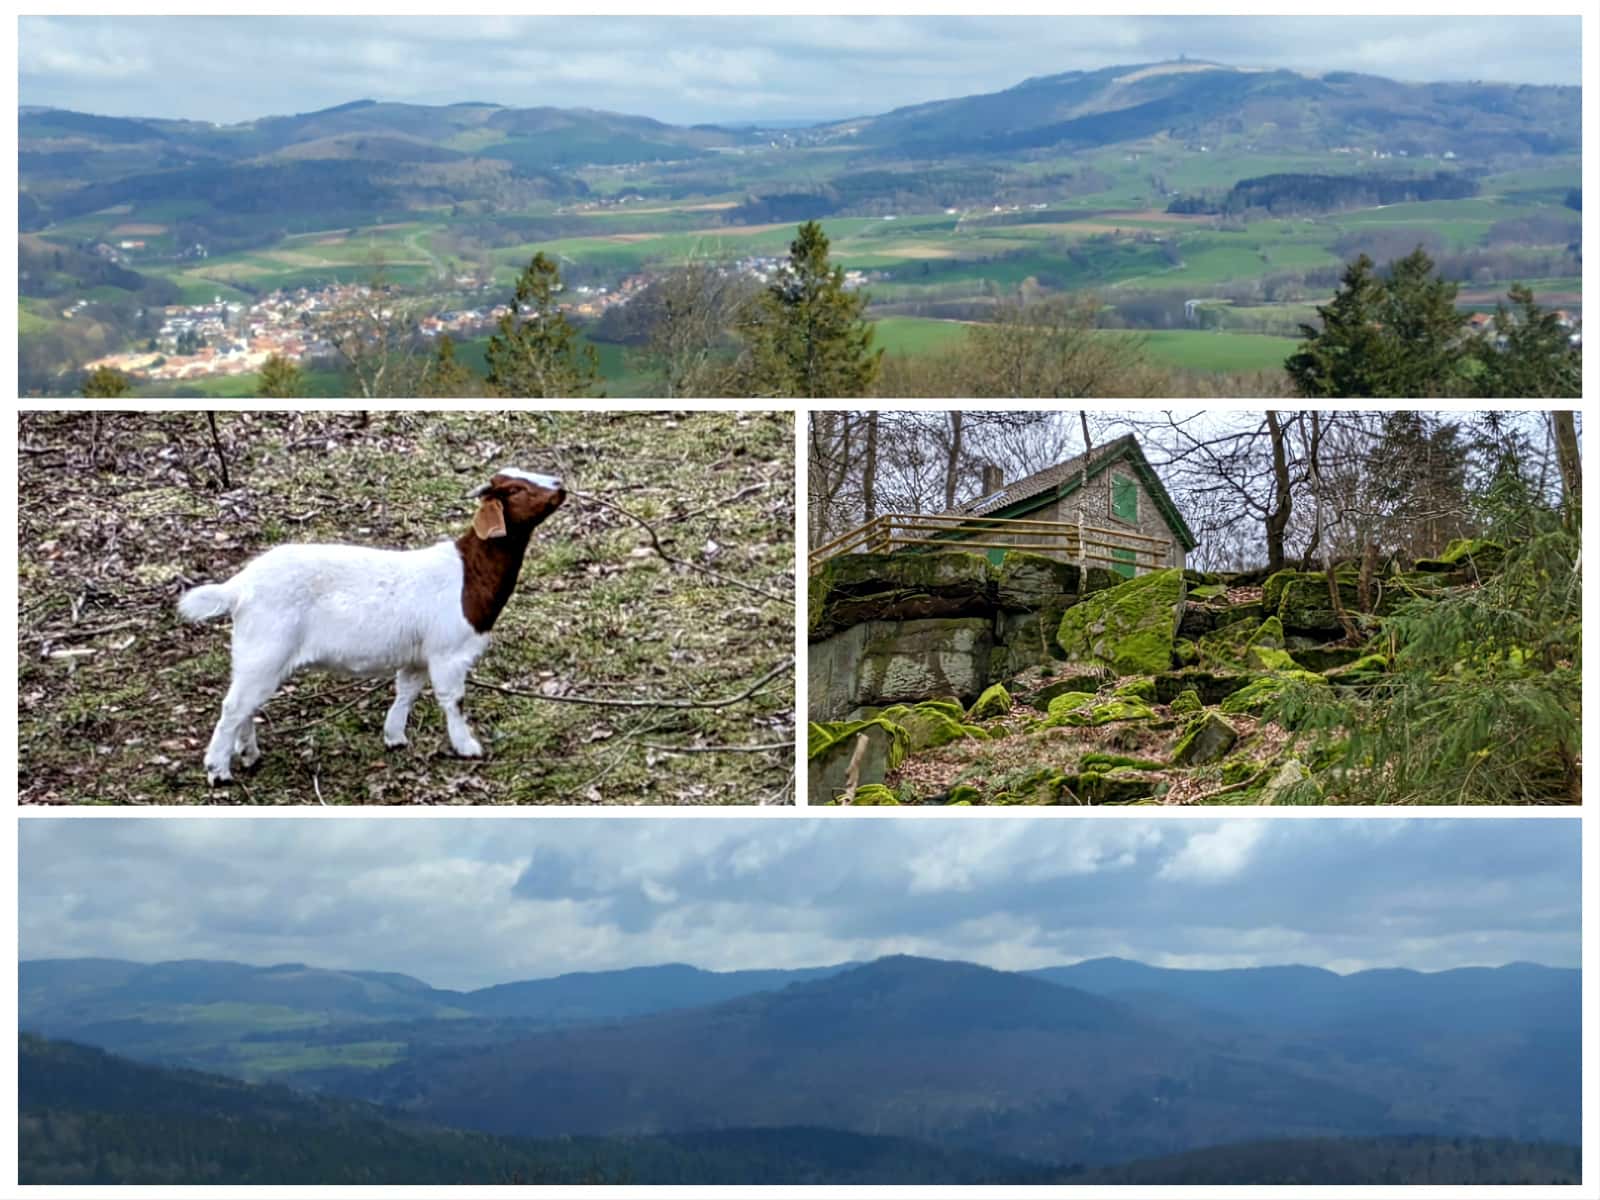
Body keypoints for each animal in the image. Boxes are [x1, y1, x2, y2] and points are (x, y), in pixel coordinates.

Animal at [177, 468, 566, 785]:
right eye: (515, 489)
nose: (560, 485)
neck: (469, 575)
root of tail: (239, 587)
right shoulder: (448, 652)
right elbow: (453, 700)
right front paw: (467, 746)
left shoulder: (418, 655)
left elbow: (406, 691)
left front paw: (395, 736)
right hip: (265, 648)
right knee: (234, 706)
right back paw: (218, 771)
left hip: (257, 656)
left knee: (246, 704)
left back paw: (249, 755)